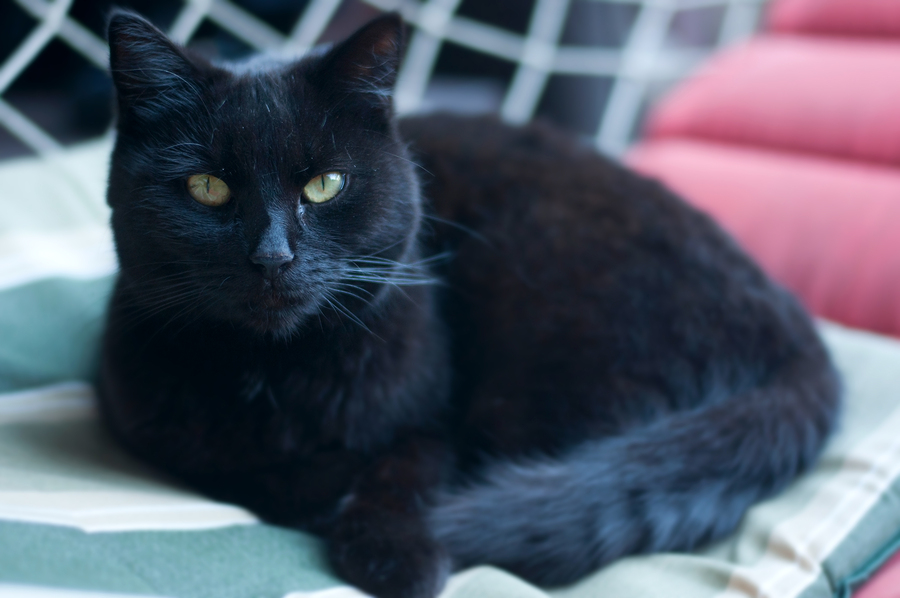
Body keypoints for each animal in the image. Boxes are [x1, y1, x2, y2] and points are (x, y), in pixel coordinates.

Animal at [102, 10, 840, 598]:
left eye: (325, 184)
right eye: (207, 188)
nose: (273, 257)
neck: (276, 377)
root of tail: (802, 341)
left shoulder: (437, 419)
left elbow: (408, 466)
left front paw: (398, 557)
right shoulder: (152, 429)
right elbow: (260, 474)